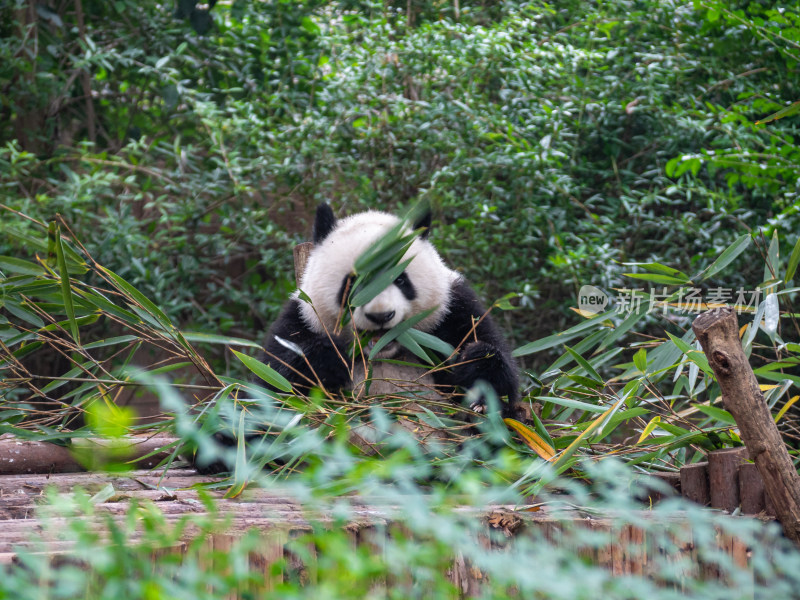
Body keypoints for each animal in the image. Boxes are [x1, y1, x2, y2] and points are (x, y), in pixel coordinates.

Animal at [260, 204, 516, 414]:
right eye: (352, 283)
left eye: (400, 279)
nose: (380, 315)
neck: (383, 354)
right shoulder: (300, 320)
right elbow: (272, 389)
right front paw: (326, 360)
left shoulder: (454, 312)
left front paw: (478, 372)